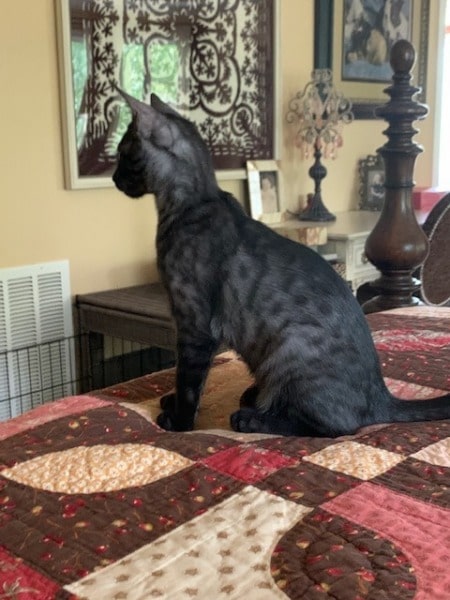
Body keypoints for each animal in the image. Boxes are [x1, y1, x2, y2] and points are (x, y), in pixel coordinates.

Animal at [113, 90, 450, 437]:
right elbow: (192, 380)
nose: (114, 177)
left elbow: (189, 381)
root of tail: (382, 396)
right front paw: (172, 403)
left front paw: (179, 421)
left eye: (123, 154)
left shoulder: (195, 325)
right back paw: (254, 397)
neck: (193, 204)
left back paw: (252, 417)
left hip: (290, 349)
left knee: (335, 426)